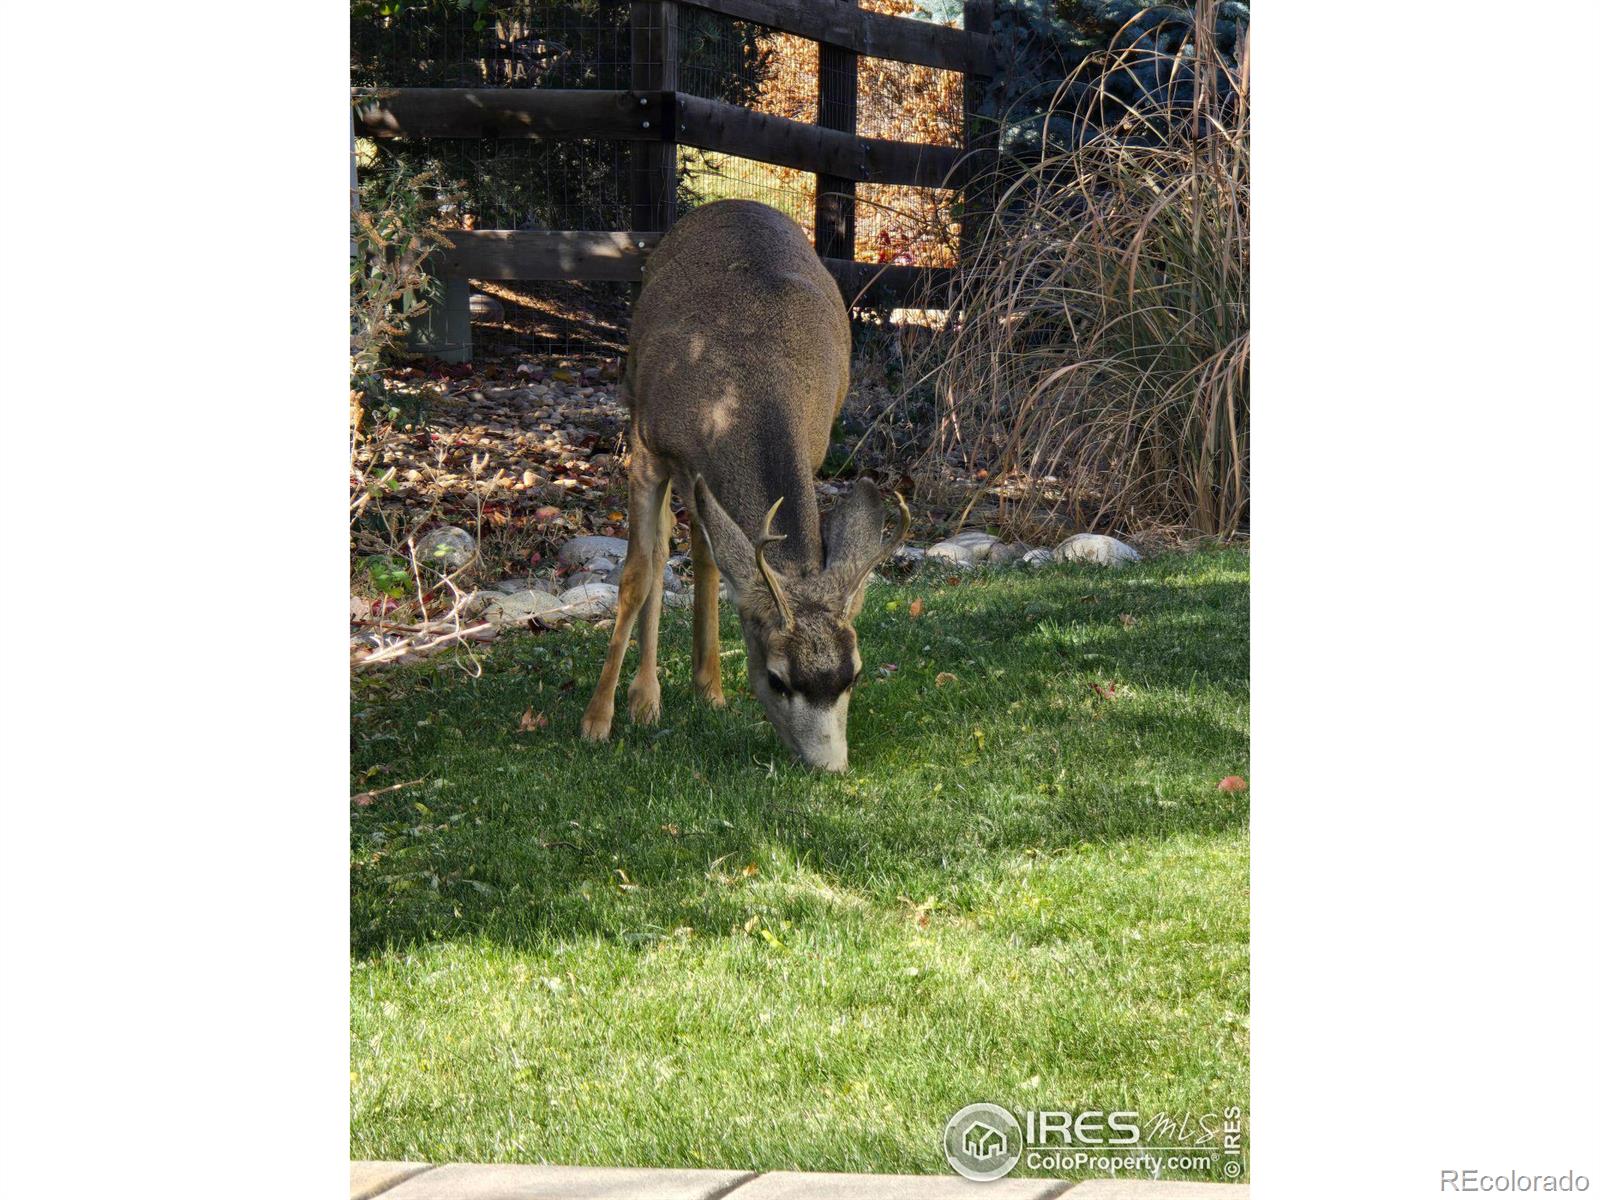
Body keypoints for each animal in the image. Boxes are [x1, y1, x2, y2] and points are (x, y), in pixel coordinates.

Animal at [579, 200, 908, 774]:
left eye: (855, 675)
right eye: (777, 679)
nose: (830, 766)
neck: (742, 394)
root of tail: (734, 201)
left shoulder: (809, 449)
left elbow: (708, 556)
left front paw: (697, 688)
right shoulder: (648, 446)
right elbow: (637, 576)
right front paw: (598, 719)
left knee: (705, 550)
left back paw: (705, 686)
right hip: (638, 399)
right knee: (663, 553)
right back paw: (646, 697)